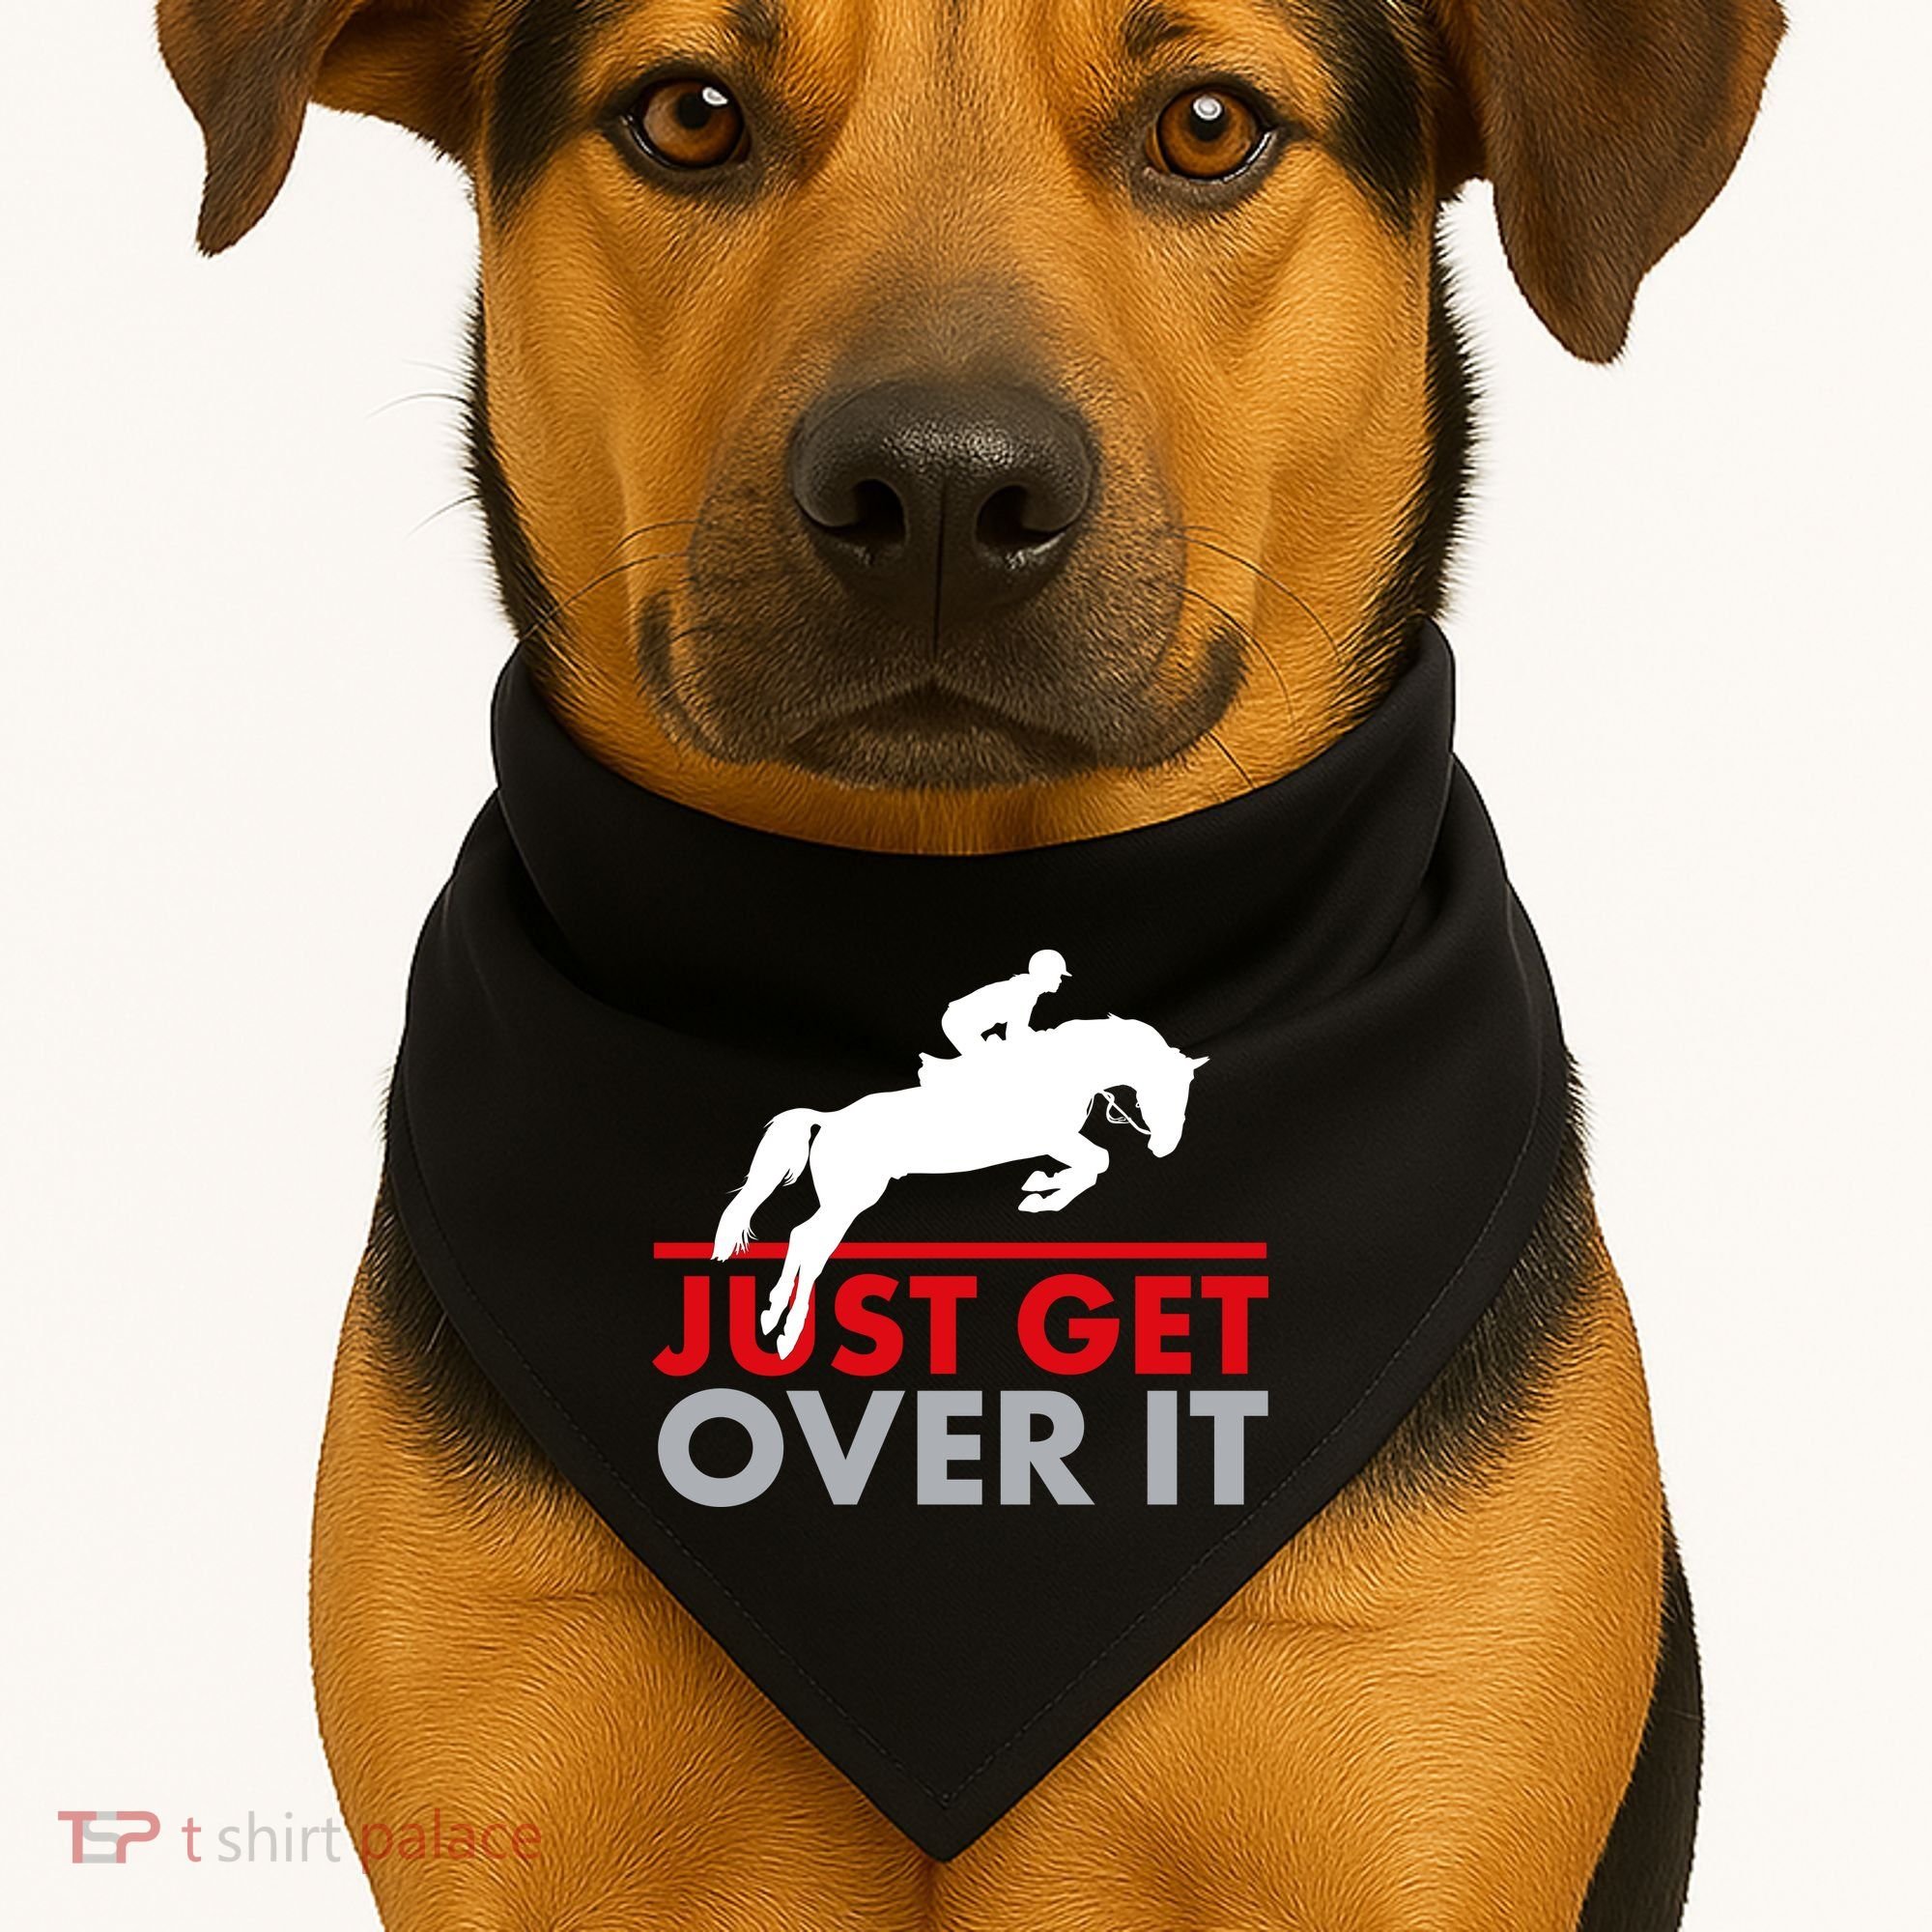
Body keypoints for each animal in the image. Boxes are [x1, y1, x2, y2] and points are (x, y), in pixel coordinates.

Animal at [711, 1016, 1209, 1357]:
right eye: (1161, 1091)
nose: (1165, 1147)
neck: (1061, 1071)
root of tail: (831, 1119)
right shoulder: (1053, 1139)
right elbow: (1096, 1162)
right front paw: (1043, 1195)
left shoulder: (1058, 1142)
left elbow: (1092, 1165)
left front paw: (1040, 1188)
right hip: (850, 1201)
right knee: (811, 1243)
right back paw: (788, 1333)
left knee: (801, 1238)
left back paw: (772, 1314)